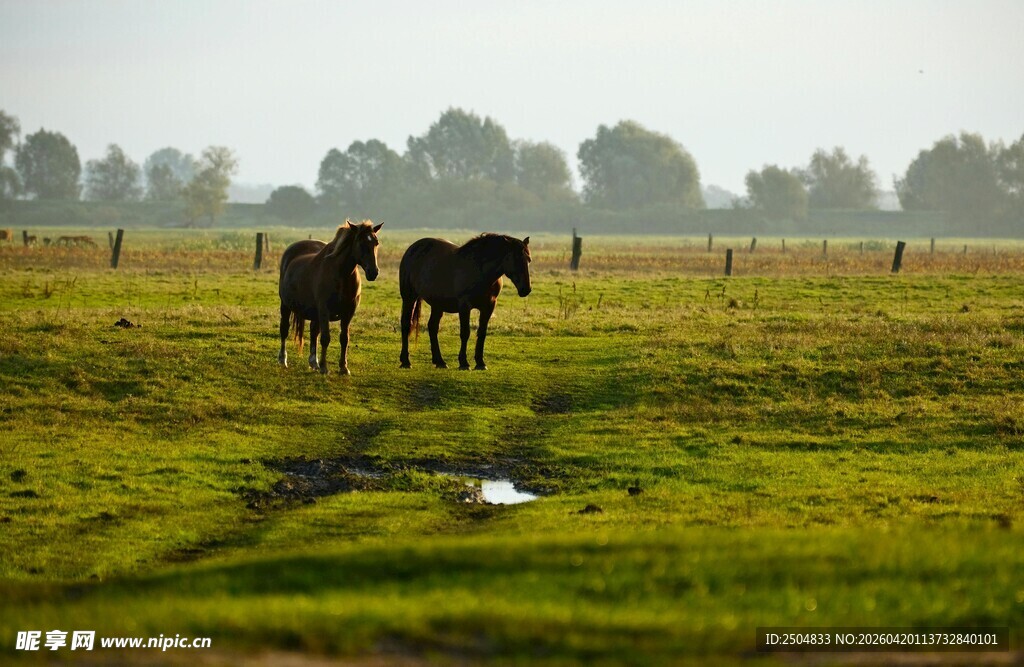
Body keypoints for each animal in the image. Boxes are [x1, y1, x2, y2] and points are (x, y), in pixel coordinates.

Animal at [278, 220, 383, 375]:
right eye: (361, 243)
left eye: (376, 243)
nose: (373, 272)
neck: (341, 276)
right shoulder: (324, 310)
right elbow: (325, 338)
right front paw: (324, 367)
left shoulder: (348, 312)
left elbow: (344, 338)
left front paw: (343, 367)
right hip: (285, 305)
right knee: (284, 329)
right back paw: (283, 359)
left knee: (314, 331)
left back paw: (313, 362)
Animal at [399, 234, 531, 370]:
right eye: (516, 259)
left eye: (528, 260)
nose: (526, 289)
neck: (480, 270)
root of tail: (412, 248)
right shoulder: (464, 306)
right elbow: (465, 333)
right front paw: (464, 363)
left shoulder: (489, 306)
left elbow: (482, 333)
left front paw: (480, 363)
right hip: (409, 297)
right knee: (406, 324)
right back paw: (405, 361)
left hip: (437, 304)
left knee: (432, 327)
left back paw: (440, 361)